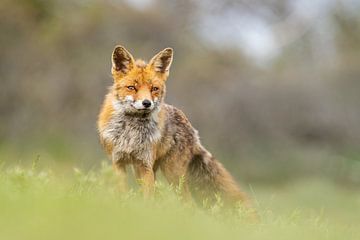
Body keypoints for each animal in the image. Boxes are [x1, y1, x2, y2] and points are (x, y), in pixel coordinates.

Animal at [97, 45, 252, 210]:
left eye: (154, 89)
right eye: (132, 87)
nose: (147, 103)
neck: (130, 133)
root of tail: (192, 129)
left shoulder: (145, 164)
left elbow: (147, 199)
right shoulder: (118, 162)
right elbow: (122, 194)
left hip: (173, 174)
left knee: (188, 203)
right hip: (148, 170)